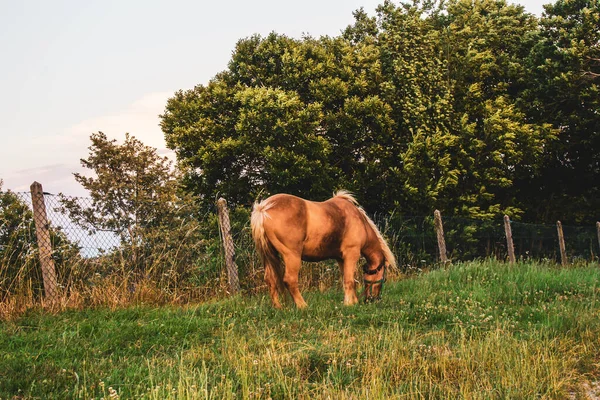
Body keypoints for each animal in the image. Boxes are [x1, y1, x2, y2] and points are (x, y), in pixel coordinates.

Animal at [251, 189, 396, 308]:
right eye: (383, 276)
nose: (373, 299)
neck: (360, 222)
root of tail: (263, 208)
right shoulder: (352, 253)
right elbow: (350, 280)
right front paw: (350, 304)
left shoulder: (341, 259)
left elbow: (347, 279)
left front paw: (352, 300)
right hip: (292, 256)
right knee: (290, 280)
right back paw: (303, 306)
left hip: (269, 255)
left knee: (270, 279)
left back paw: (278, 307)